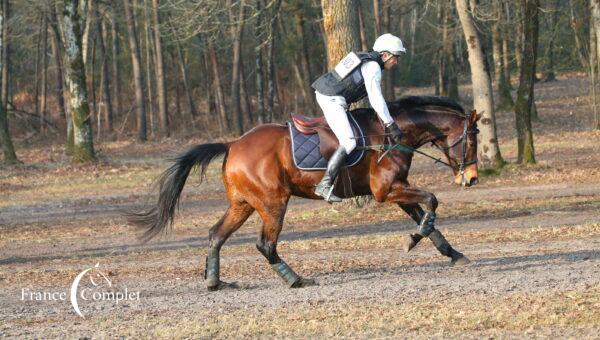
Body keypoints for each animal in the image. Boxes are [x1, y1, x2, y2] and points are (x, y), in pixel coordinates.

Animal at [127, 95, 482, 290]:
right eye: (472, 140)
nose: (472, 178)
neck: (394, 132)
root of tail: (232, 144)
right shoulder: (387, 191)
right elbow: (432, 201)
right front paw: (415, 240)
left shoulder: (397, 189)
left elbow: (428, 218)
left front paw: (450, 252)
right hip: (273, 203)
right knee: (265, 244)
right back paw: (295, 280)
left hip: (243, 204)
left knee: (216, 235)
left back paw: (215, 282)